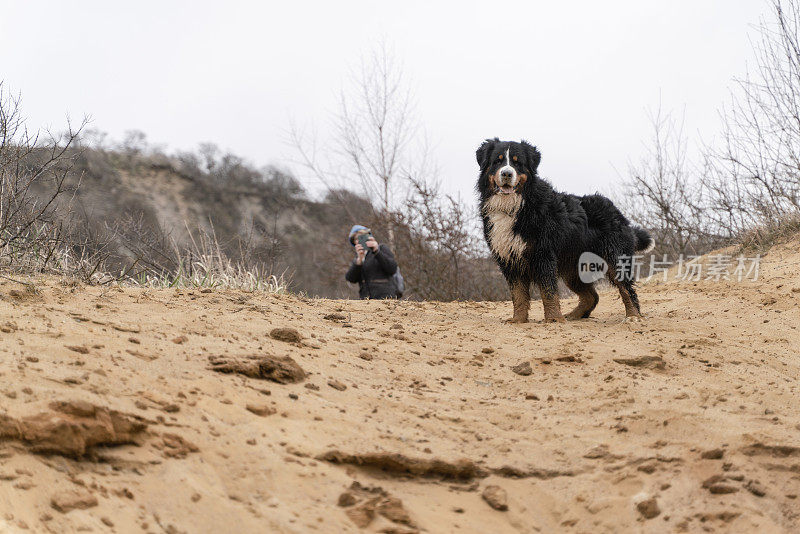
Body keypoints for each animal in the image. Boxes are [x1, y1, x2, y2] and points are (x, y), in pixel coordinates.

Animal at [476, 138, 656, 324]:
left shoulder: (543, 254)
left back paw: (633, 316)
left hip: (614, 257)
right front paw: (518, 320)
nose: (506, 173)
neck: (514, 206)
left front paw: (553, 319)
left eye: (517, 163)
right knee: (592, 296)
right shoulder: (509, 258)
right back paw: (573, 315)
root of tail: (618, 213)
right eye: (497, 161)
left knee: (627, 289)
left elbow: (548, 291)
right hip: (573, 268)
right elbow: (518, 294)